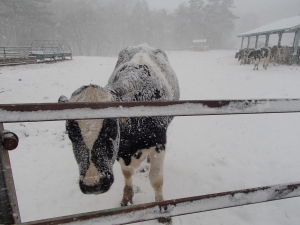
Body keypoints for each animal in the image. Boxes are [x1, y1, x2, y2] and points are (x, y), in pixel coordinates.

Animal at [59, 43, 179, 223]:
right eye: (70, 133)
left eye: (111, 129)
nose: (93, 184)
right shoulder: (121, 151)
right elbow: (127, 173)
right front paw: (127, 199)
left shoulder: (159, 143)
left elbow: (156, 179)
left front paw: (162, 211)